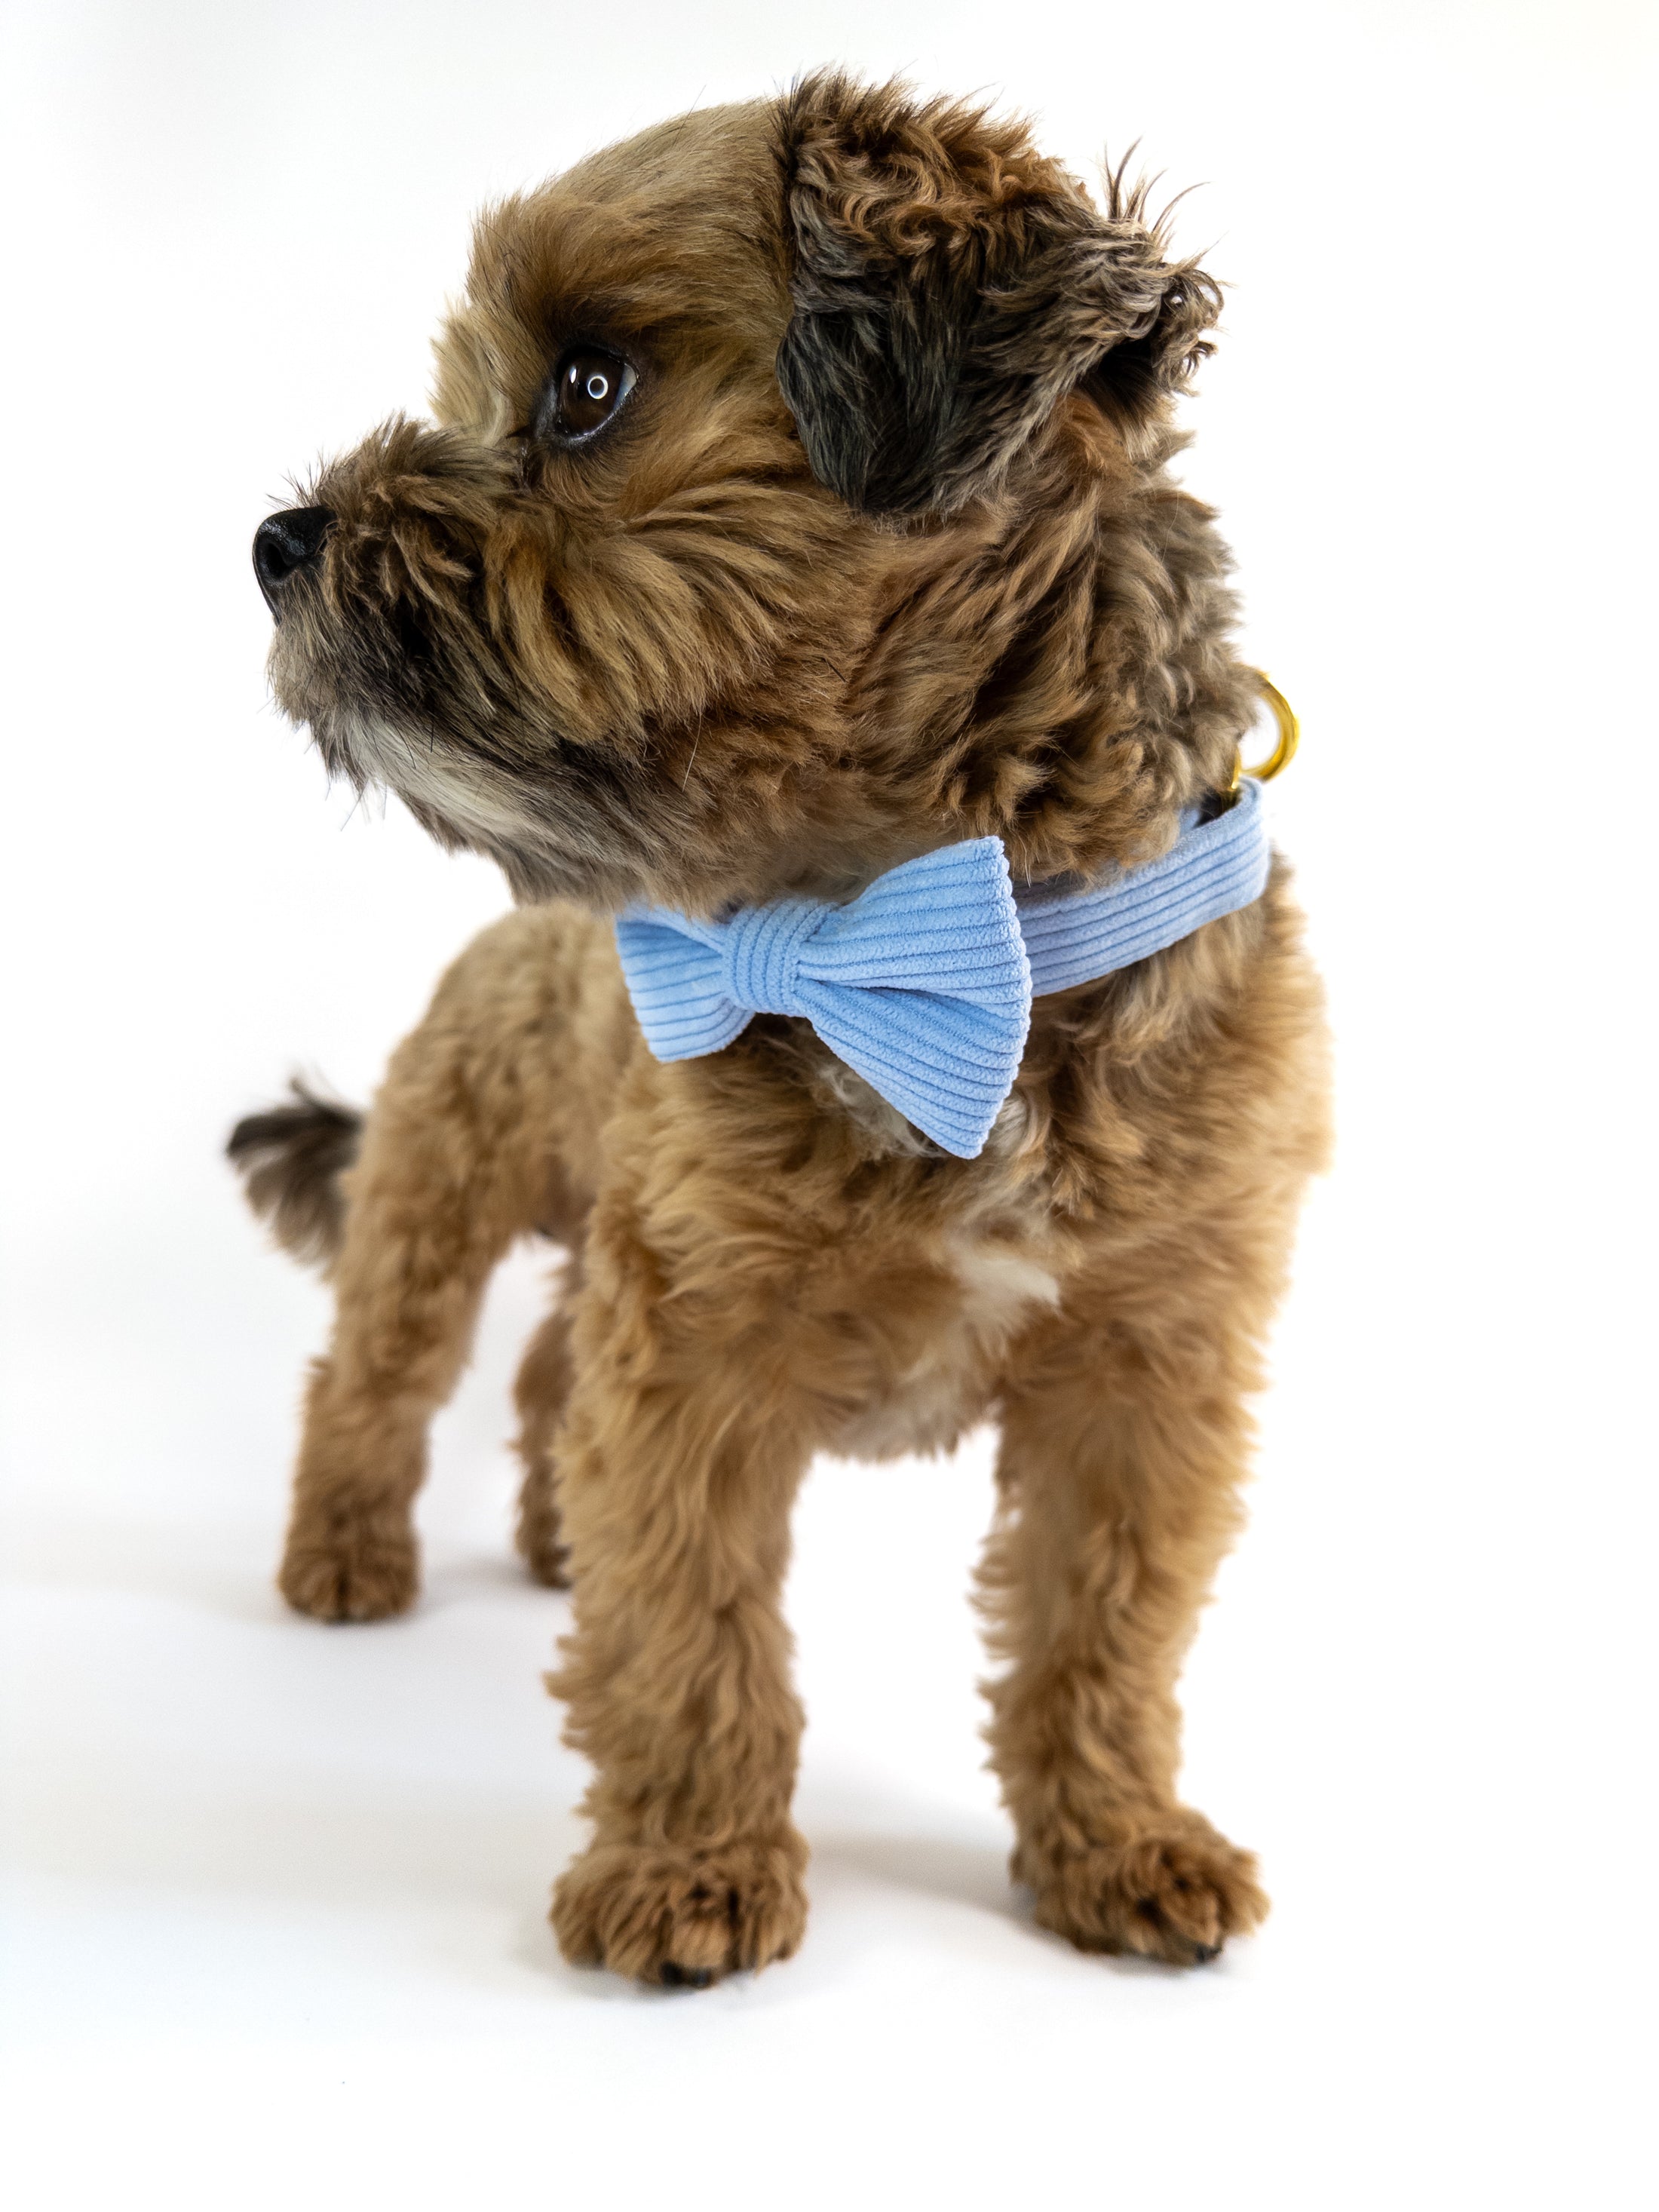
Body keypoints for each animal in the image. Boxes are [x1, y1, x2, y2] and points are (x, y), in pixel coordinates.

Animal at [228, 78, 1335, 1999]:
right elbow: (688, 1627)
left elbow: (1102, 1628)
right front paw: (686, 1867)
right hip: (441, 1204)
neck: (941, 935)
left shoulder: (1149, 1364)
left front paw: (1115, 1837)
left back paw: (546, 1538)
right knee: (379, 1377)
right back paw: (346, 1555)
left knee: (545, 1379)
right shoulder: (697, 1349)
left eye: (587, 386)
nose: (280, 542)